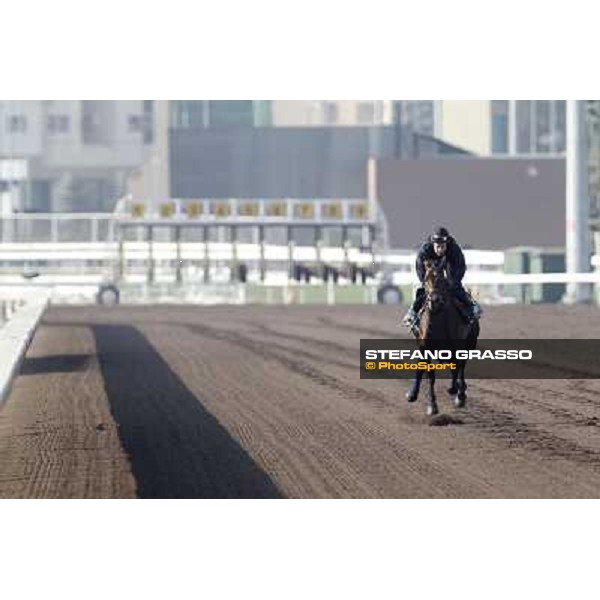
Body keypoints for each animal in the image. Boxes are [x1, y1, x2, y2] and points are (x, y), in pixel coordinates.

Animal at [406, 258, 480, 418]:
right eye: (426, 279)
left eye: (441, 279)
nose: (434, 300)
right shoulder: (425, 347)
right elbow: (429, 374)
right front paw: (432, 405)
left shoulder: (457, 346)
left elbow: (457, 367)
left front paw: (459, 394)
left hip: (470, 343)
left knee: (460, 367)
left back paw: (459, 391)